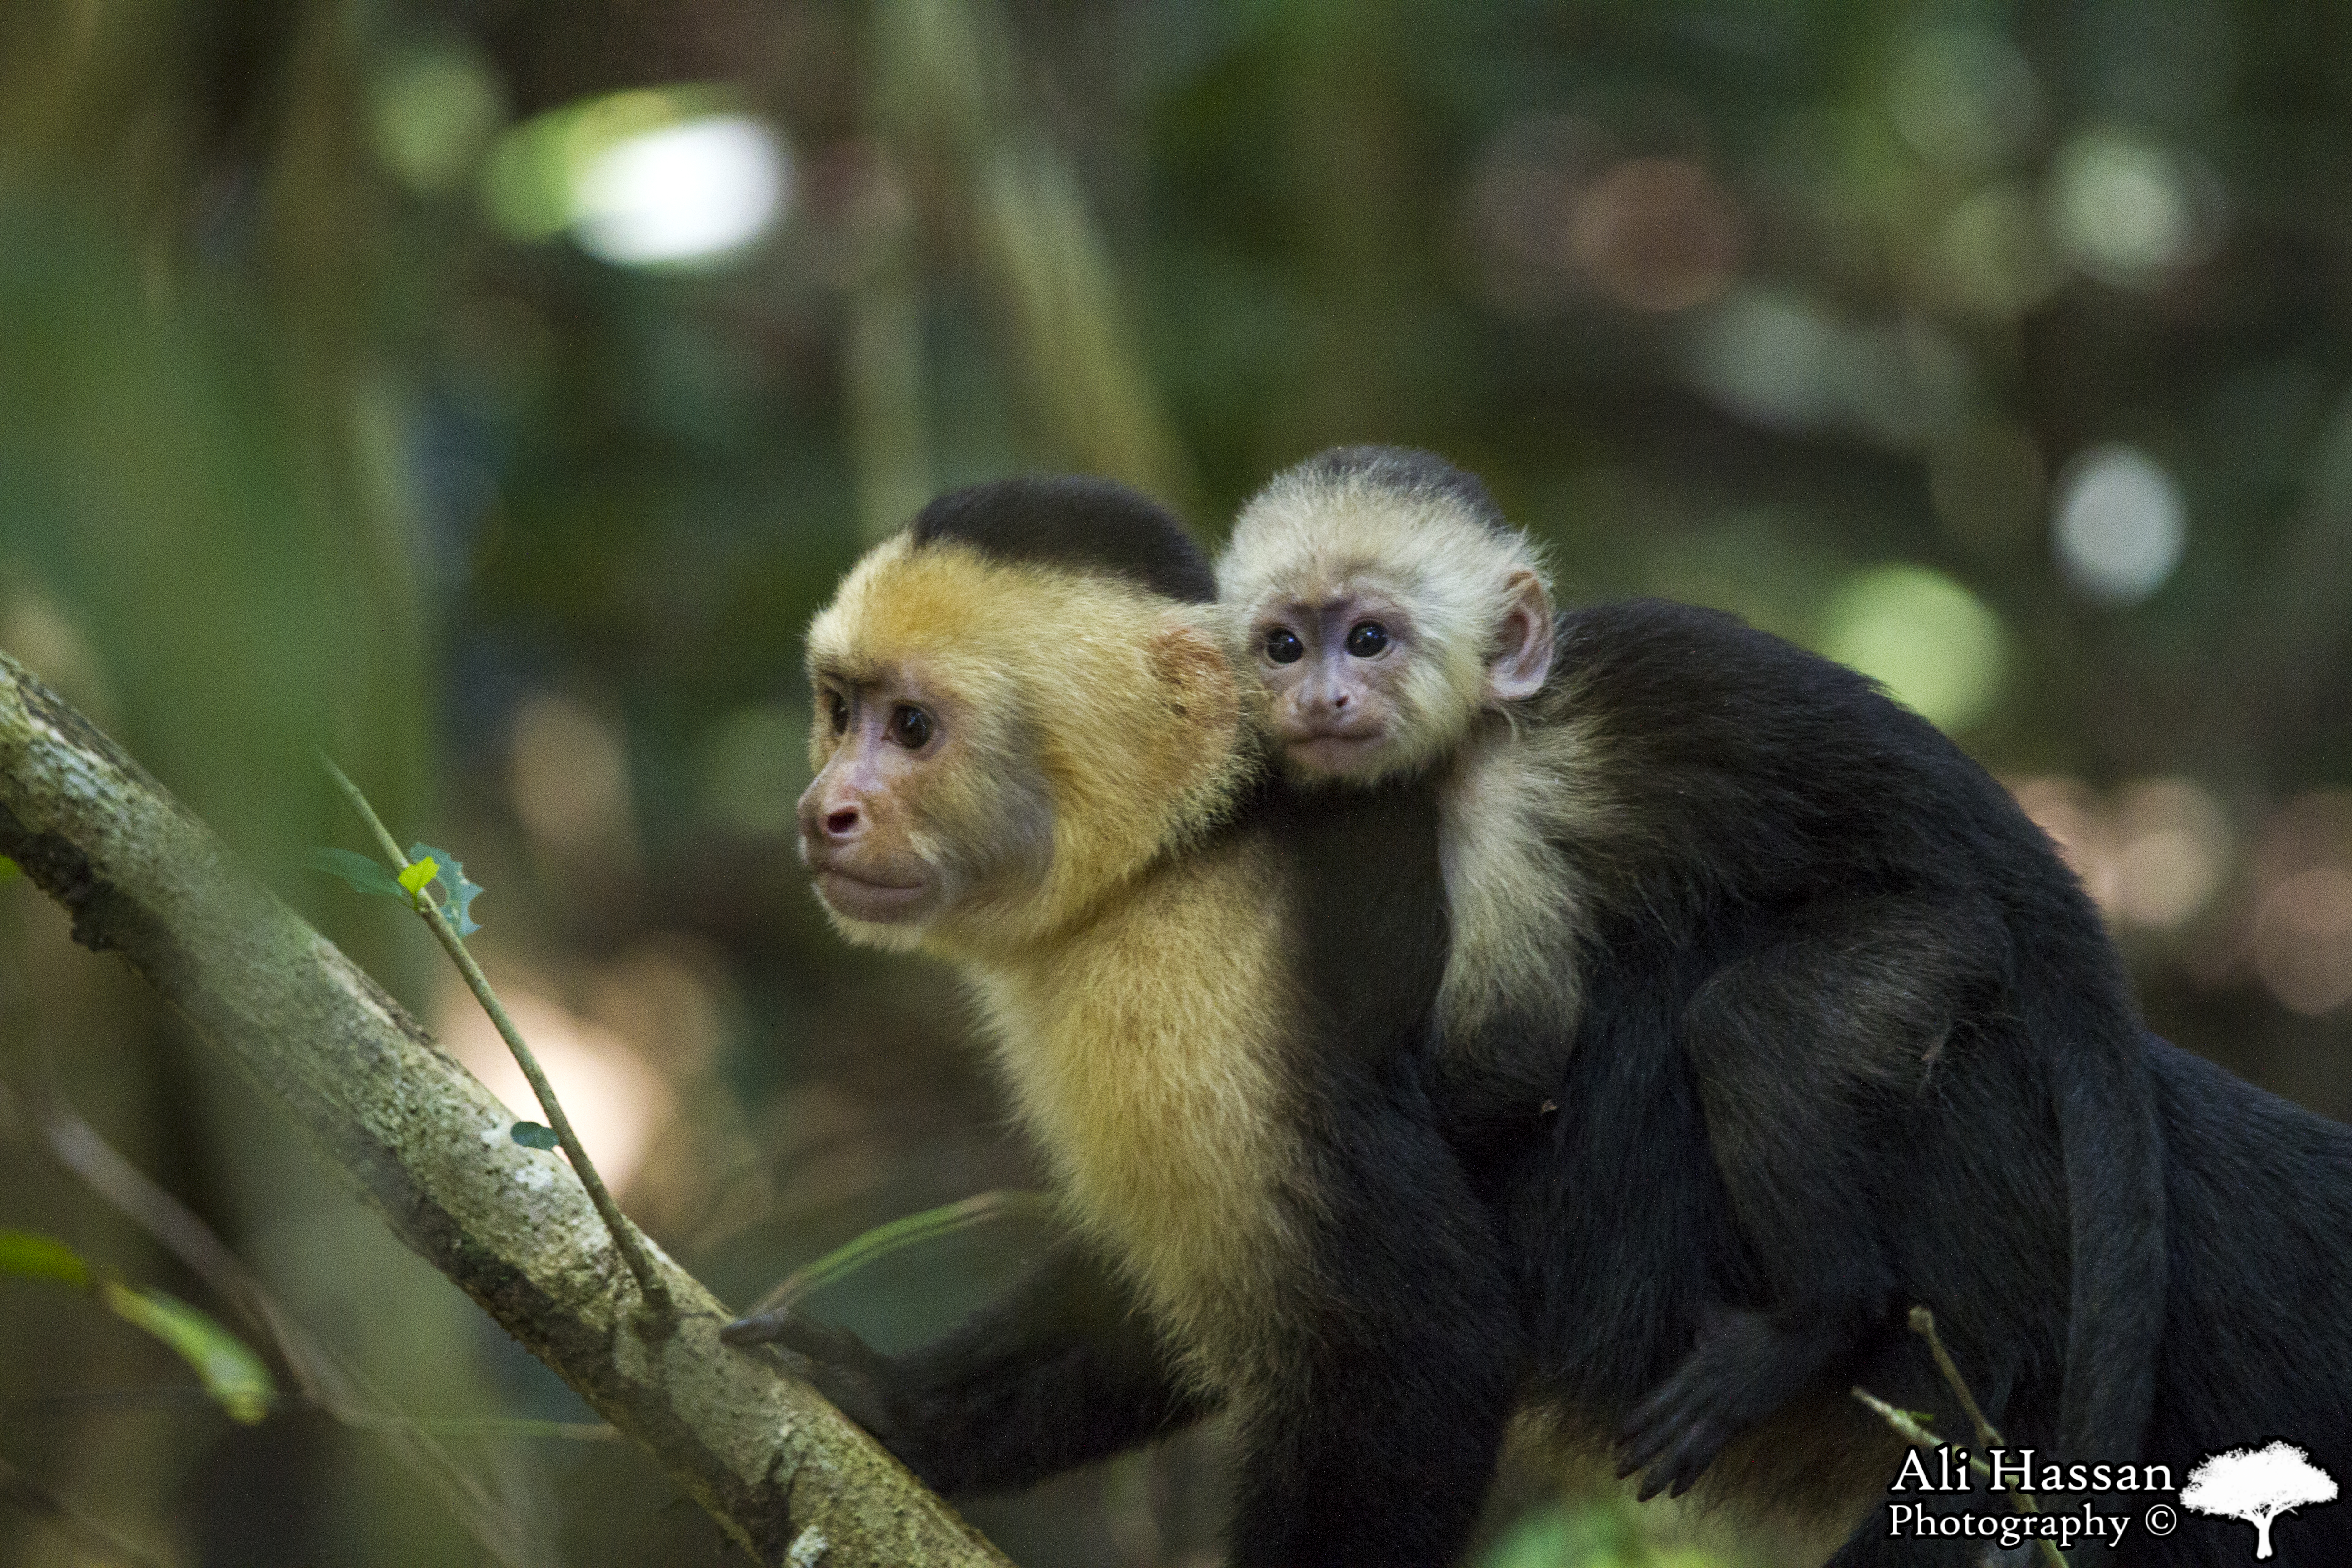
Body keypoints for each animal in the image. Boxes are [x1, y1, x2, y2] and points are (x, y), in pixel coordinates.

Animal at [1213, 444, 2352, 1568]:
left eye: (1368, 639)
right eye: (1282, 646)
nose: (1318, 700)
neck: (1501, 719)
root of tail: (2041, 886)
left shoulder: (1504, 806)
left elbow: (1517, 1048)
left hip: (1937, 945)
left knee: (1750, 1030)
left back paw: (1818, 1316)